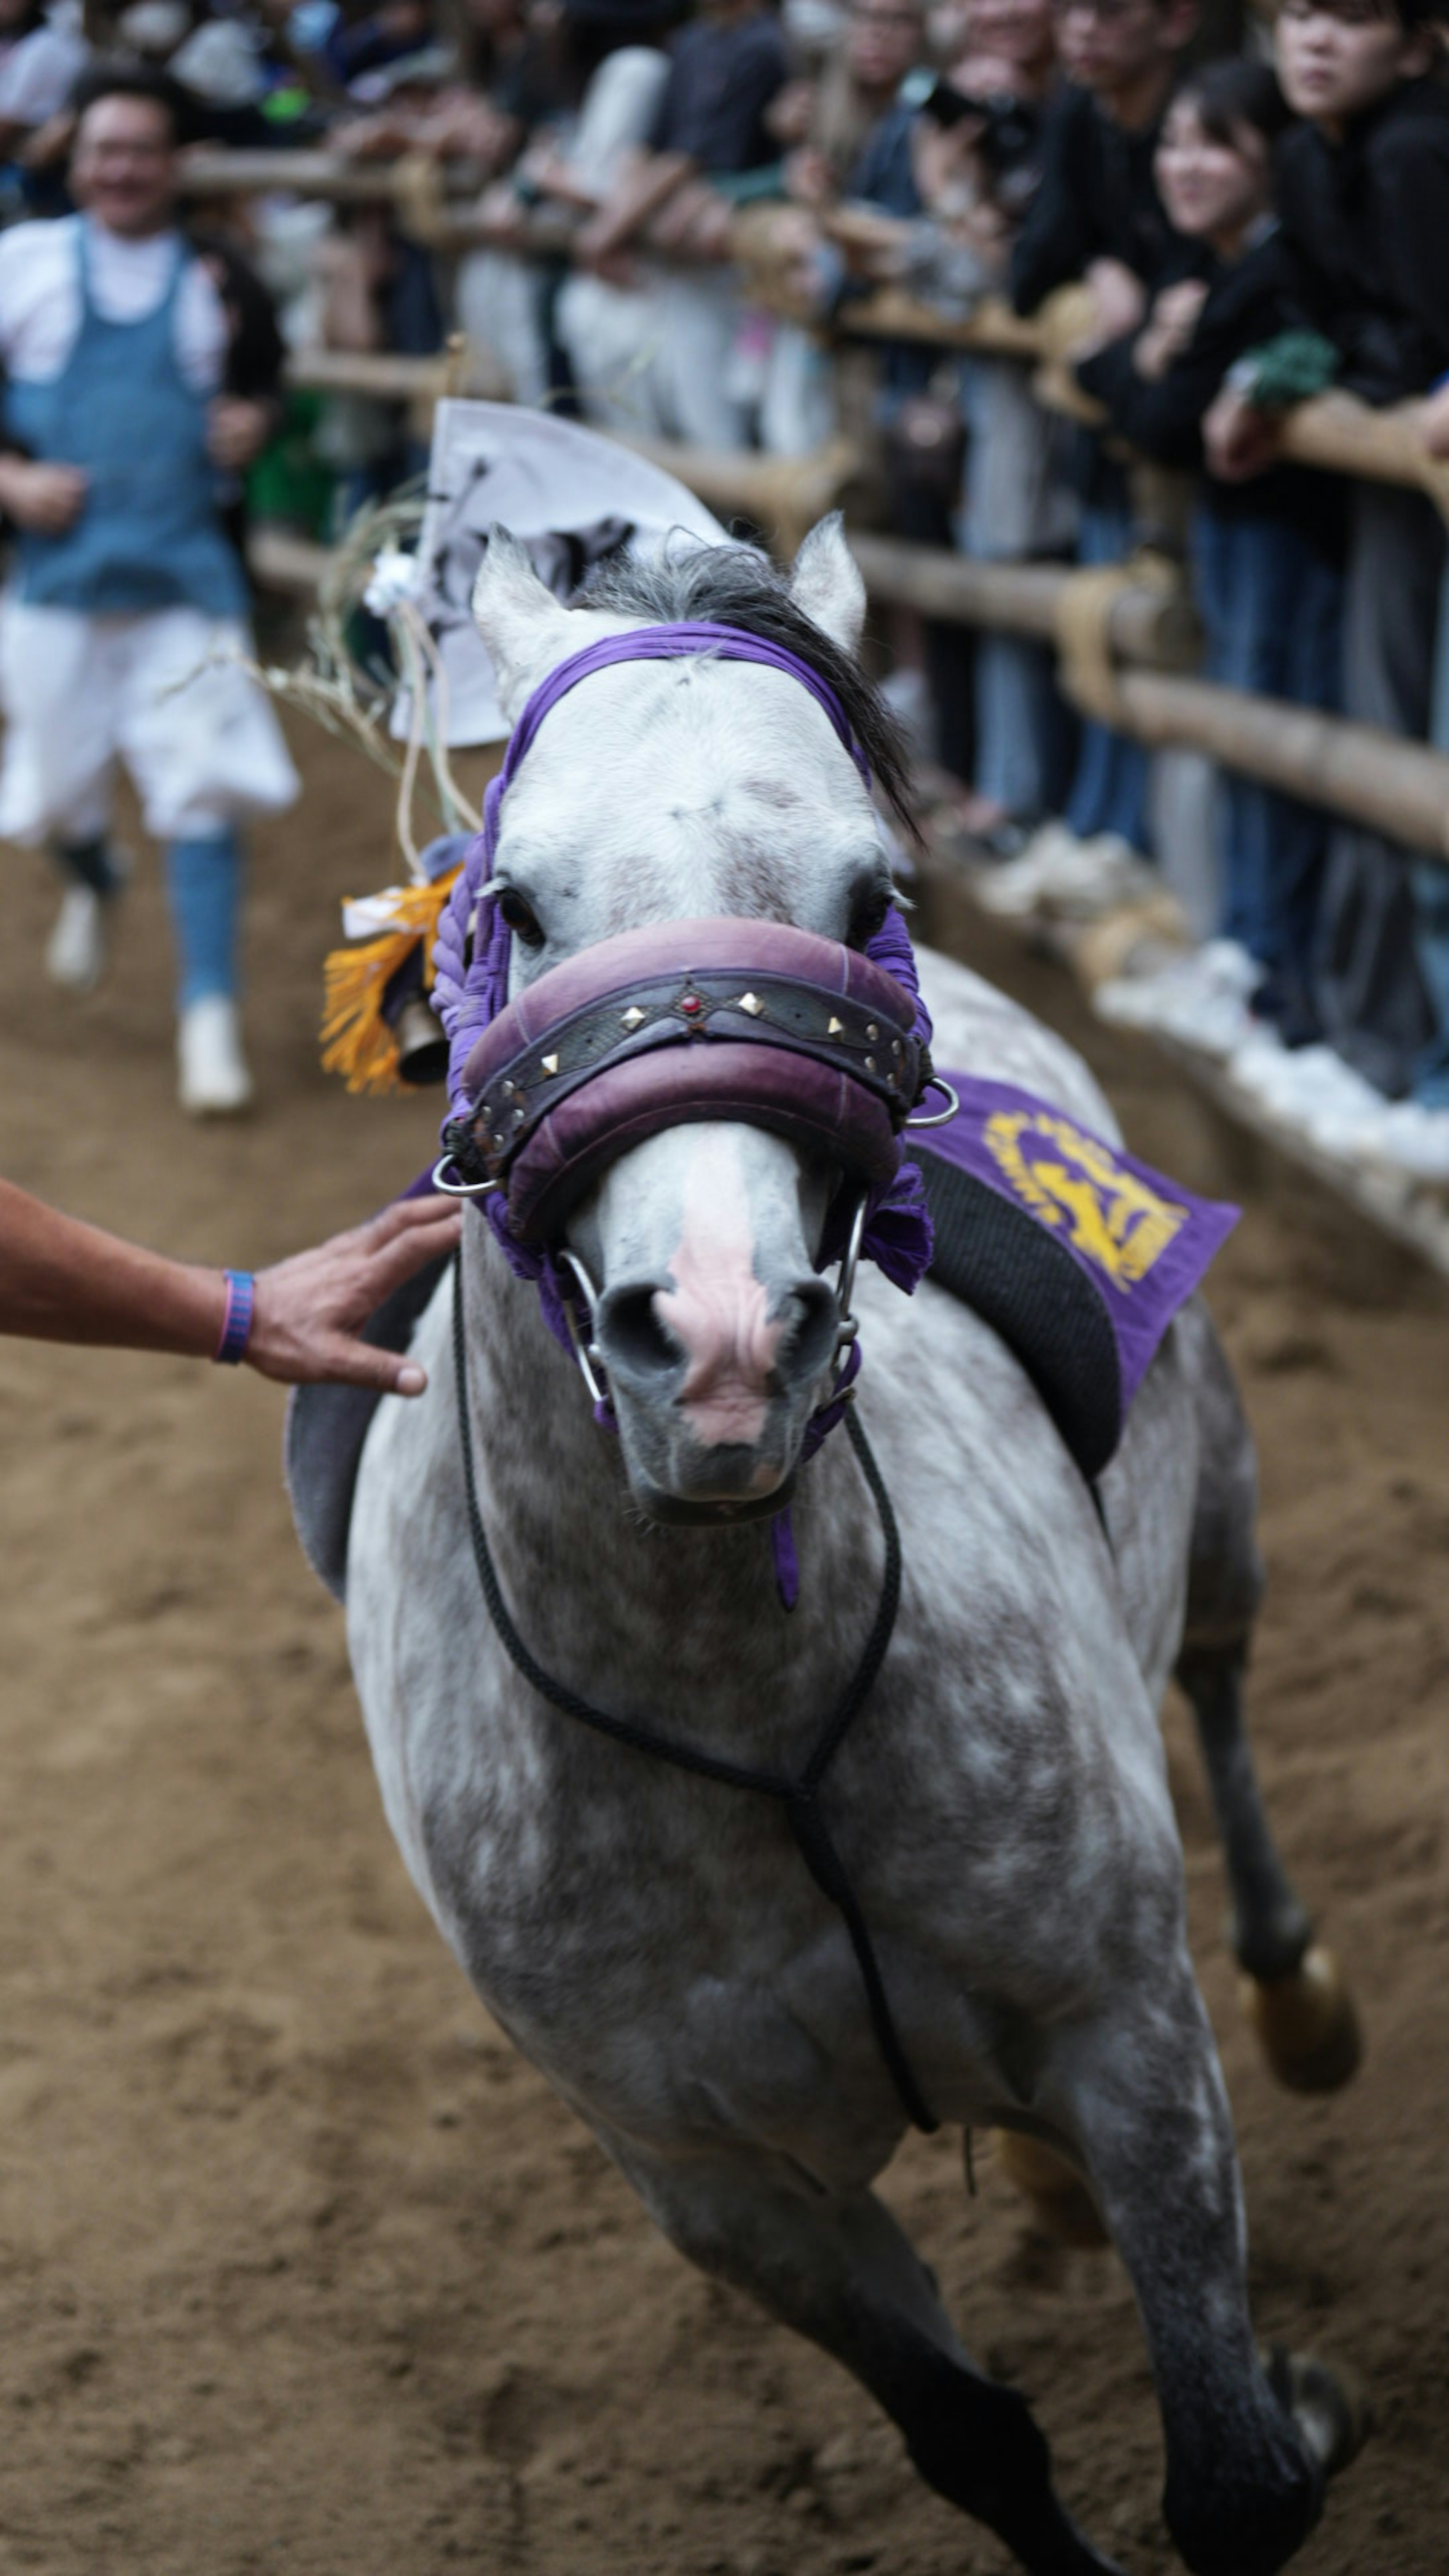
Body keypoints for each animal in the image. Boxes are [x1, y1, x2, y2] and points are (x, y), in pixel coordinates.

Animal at [325, 512, 1351, 2565]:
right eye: (516, 905)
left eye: (865, 886)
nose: (721, 1340)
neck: (734, 1711)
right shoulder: (721, 2188)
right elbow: (975, 2443)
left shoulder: (1126, 2027)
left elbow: (1235, 2478)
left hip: (1221, 1508)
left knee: (1218, 1674)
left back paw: (1301, 1995)